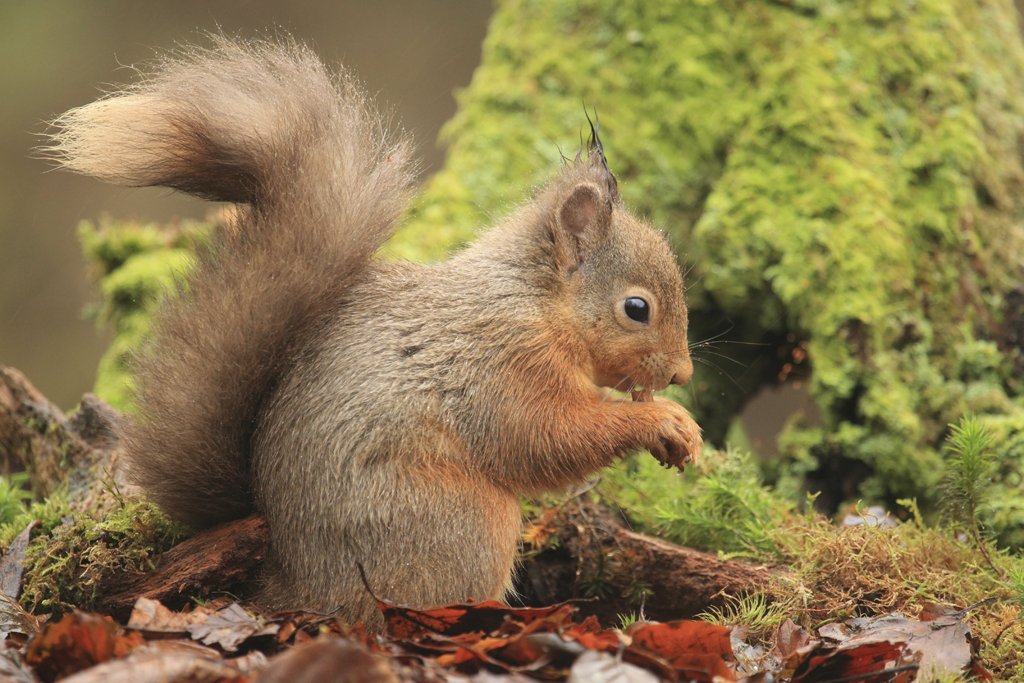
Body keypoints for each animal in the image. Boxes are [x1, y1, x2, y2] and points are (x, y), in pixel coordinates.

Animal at [48, 37, 704, 630]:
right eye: (637, 308)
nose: (682, 373)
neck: (536, 302)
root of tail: (290, 584)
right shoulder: (501, 363)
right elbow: (545, 437)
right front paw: (663, 421)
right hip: (463, 522)